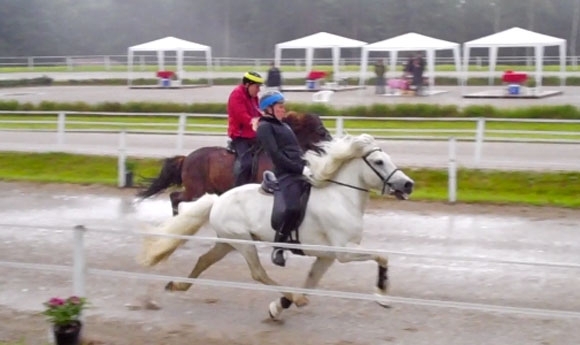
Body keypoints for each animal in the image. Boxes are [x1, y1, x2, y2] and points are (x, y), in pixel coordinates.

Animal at [140, 133, 412, 318]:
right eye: (379, 162)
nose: (408, 185)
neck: (340, 198)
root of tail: (219, 199)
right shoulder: (344, 252)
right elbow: (382, 256)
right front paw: (382, 295)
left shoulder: (327, 256)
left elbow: (310, 284)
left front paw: (280, 307)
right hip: (243, 242)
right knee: (258, 273)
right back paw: (286, 295)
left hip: (228, 242)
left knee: (204, 260)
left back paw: (178, 285)